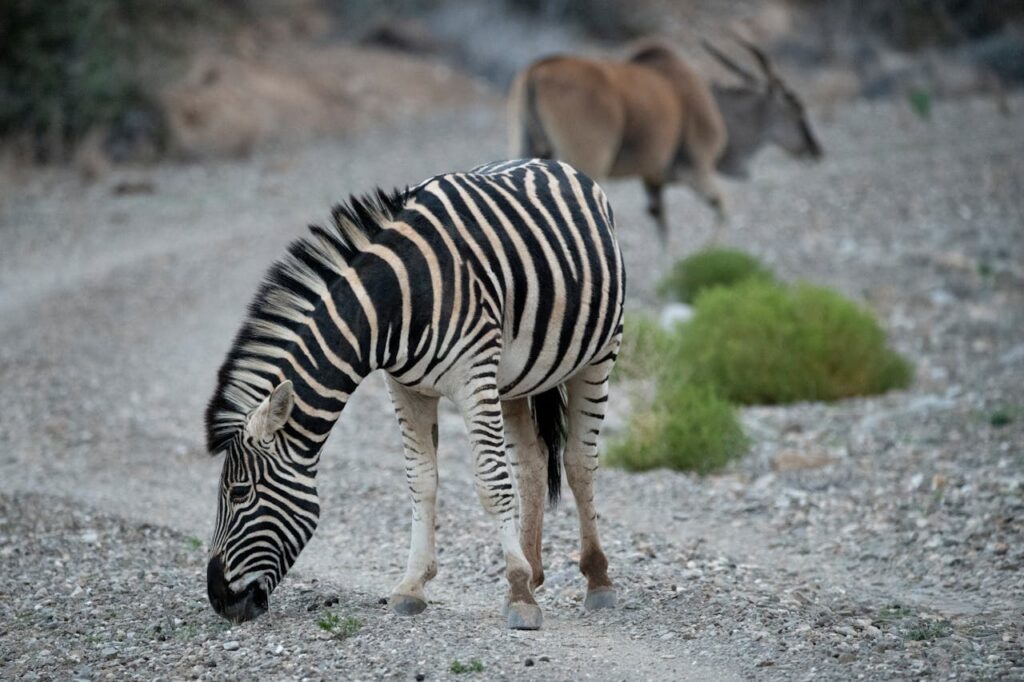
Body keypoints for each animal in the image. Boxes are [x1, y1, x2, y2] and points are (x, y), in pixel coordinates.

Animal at [204, 158, 625, 630]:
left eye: (240, 493)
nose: (219, 599)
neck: (397, 301)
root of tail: (551, 162)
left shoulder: (473, 376)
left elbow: (492, 482)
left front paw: (517, 594)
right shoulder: (406, 387)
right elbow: (420, 480)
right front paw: (412, 586)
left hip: (599, 354)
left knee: (579, 463)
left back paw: (596, 580)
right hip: (515, 379)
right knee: (532, 463)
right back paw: (534, 570)